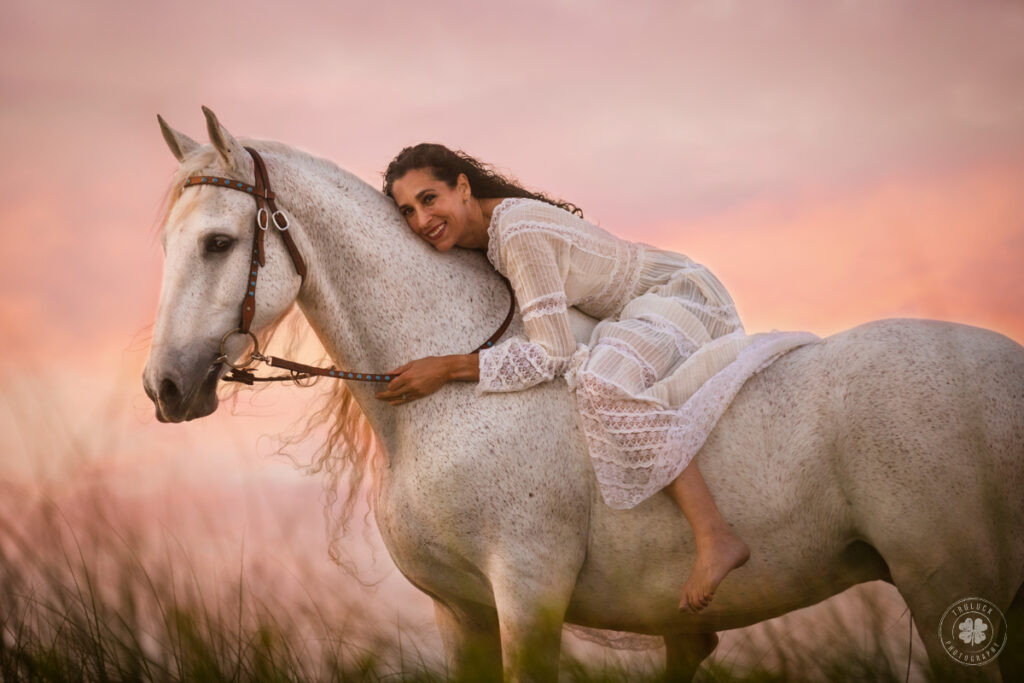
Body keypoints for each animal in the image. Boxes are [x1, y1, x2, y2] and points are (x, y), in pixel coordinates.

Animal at [144, 107, 1024, 679]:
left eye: (219, 242)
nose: (164, 387)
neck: (449, 411)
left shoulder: (528, 595)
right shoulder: (461, 614)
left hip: (949, 587)